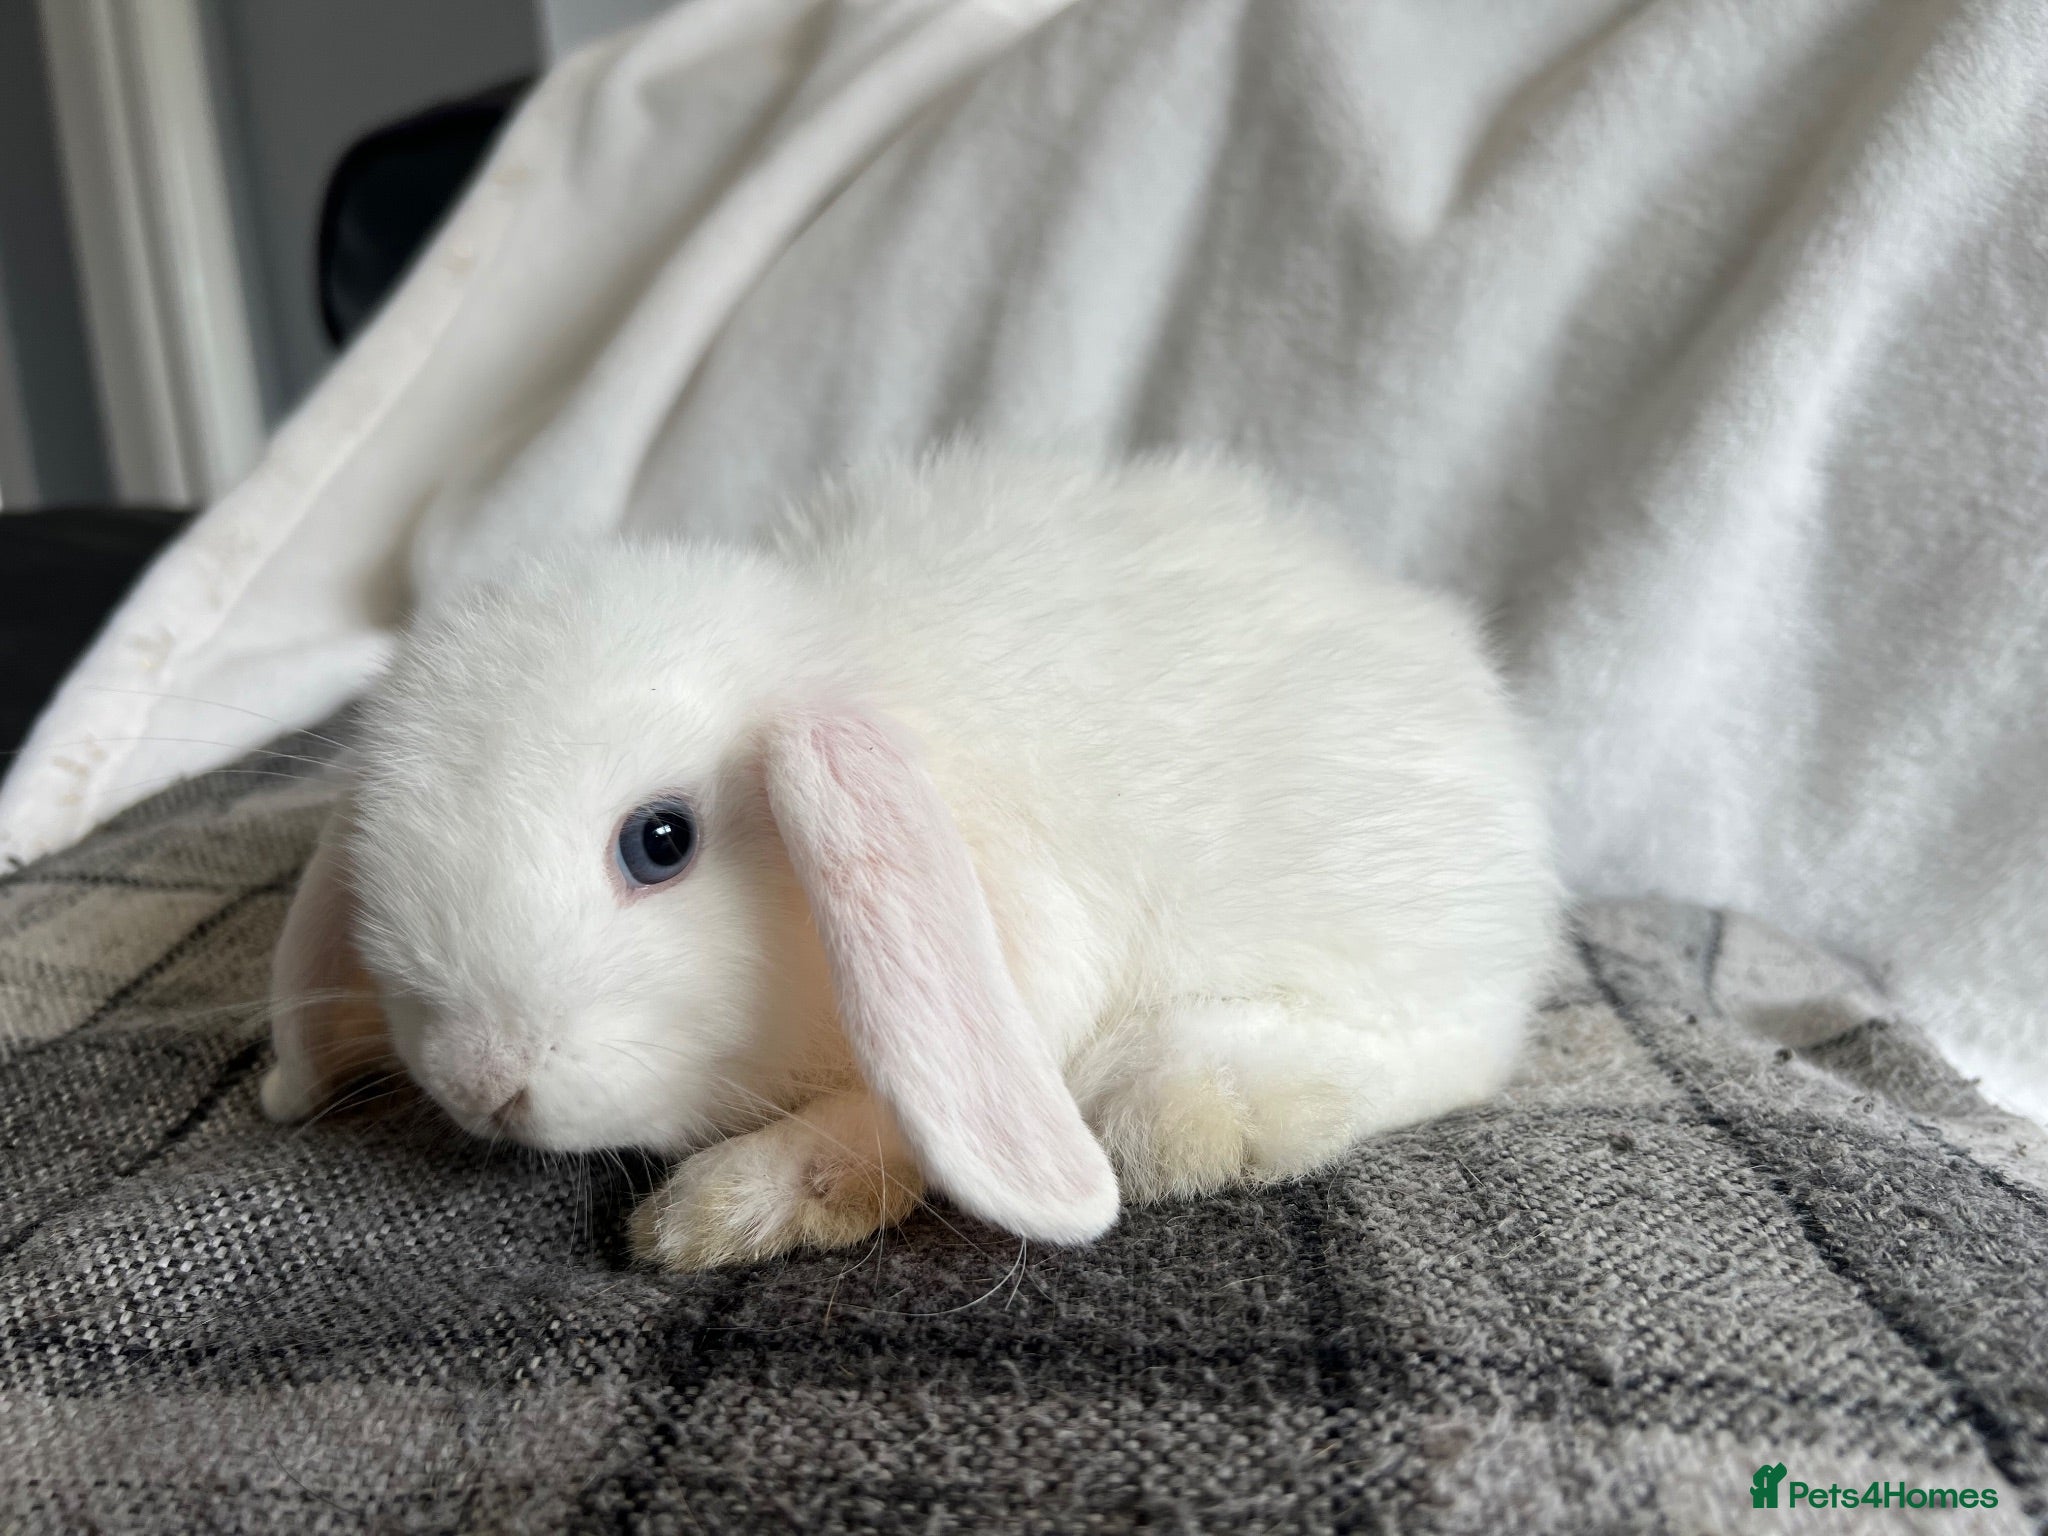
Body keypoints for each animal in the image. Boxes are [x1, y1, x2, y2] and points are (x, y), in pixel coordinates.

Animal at [263, 447, 1559, 1270]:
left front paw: (717, 1214)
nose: (478, 1080)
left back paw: (1192, 1106)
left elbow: (907, 1111)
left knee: (1442, 1053)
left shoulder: (1014, 956)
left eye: (660, 840)